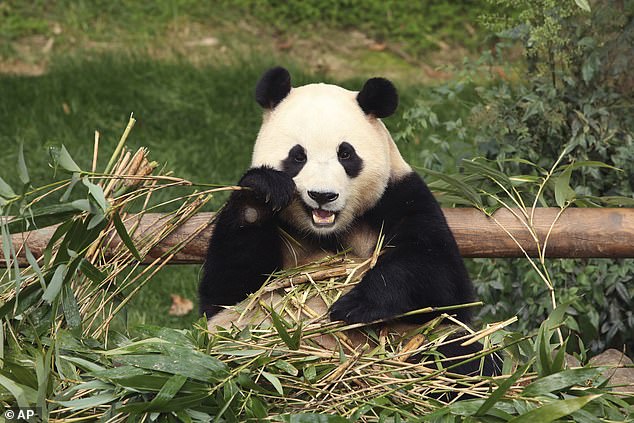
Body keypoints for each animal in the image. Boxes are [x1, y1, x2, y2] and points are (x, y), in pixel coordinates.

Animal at [198, 68, 494, 376]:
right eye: (298, 155)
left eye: (346, 153)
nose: (322, 195)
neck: (328, 231)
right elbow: (227, 290)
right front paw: (262, 193)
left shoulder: (401, 198)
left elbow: (441, 276)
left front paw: (354, 305)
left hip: (418, 338)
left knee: (463, 356)